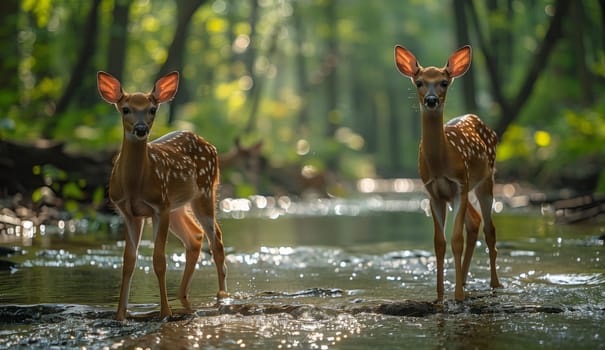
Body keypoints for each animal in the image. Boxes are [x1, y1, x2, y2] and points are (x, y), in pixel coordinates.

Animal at [96, 70, 229, 320]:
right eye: (125, 109)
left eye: (152, 109)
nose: (140, 129)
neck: (135, 186)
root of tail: (211, 145)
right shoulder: (130, 213)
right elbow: (128, 261)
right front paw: (120, 316)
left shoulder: (159, 207)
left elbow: (159, 260)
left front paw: (165, 313)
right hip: (177, 205)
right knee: (195, 237)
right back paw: (182, 294)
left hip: (204, 191)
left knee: (215, 239)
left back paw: (222, 296)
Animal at [394, 43, 498, 300]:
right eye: (419, 82)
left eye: (444, 82)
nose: (431, 100)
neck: (441, 164)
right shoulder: (434, 193)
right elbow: (439, 243)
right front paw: (440, 295)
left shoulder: (459, 183)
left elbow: (456, 240)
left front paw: (458, 296)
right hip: (462, 190)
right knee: (475, 221)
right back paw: (466, 281)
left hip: (484, 180)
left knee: (489, 229)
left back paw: (494, 284)